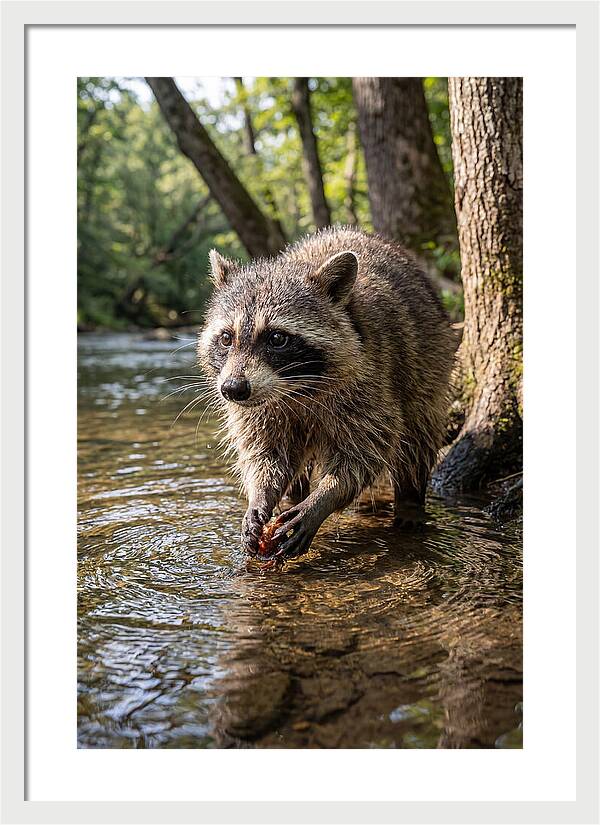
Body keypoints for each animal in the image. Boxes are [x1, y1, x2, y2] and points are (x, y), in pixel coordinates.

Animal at [198, 227, 455, 560]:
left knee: (417, 439)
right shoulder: (259, 408)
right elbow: (266, 453)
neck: (295, 388)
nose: (232, 390)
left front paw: (324, 498)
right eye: (227, 338)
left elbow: (366, 452)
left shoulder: (370, 381)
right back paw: (293, 496)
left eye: (277, 338)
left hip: (429, 363)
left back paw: (410, 501)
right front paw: (260, 495)